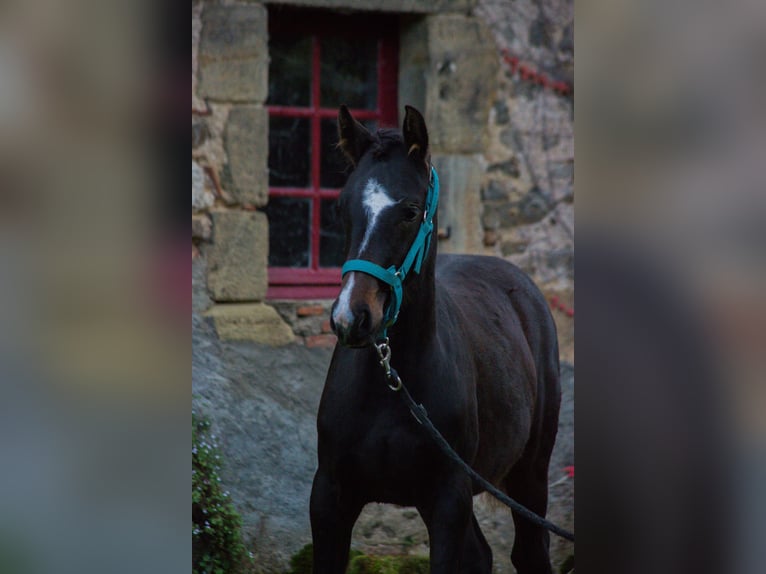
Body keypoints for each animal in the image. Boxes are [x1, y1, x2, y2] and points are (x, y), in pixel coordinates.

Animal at [310, 104, 564, 574]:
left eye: (410, 211)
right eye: (341, 206)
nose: (350, 318)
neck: (391, 385)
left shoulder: (448, 500)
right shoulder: (329, 498)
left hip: (530, 474)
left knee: (529, 551)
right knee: (482, 555)